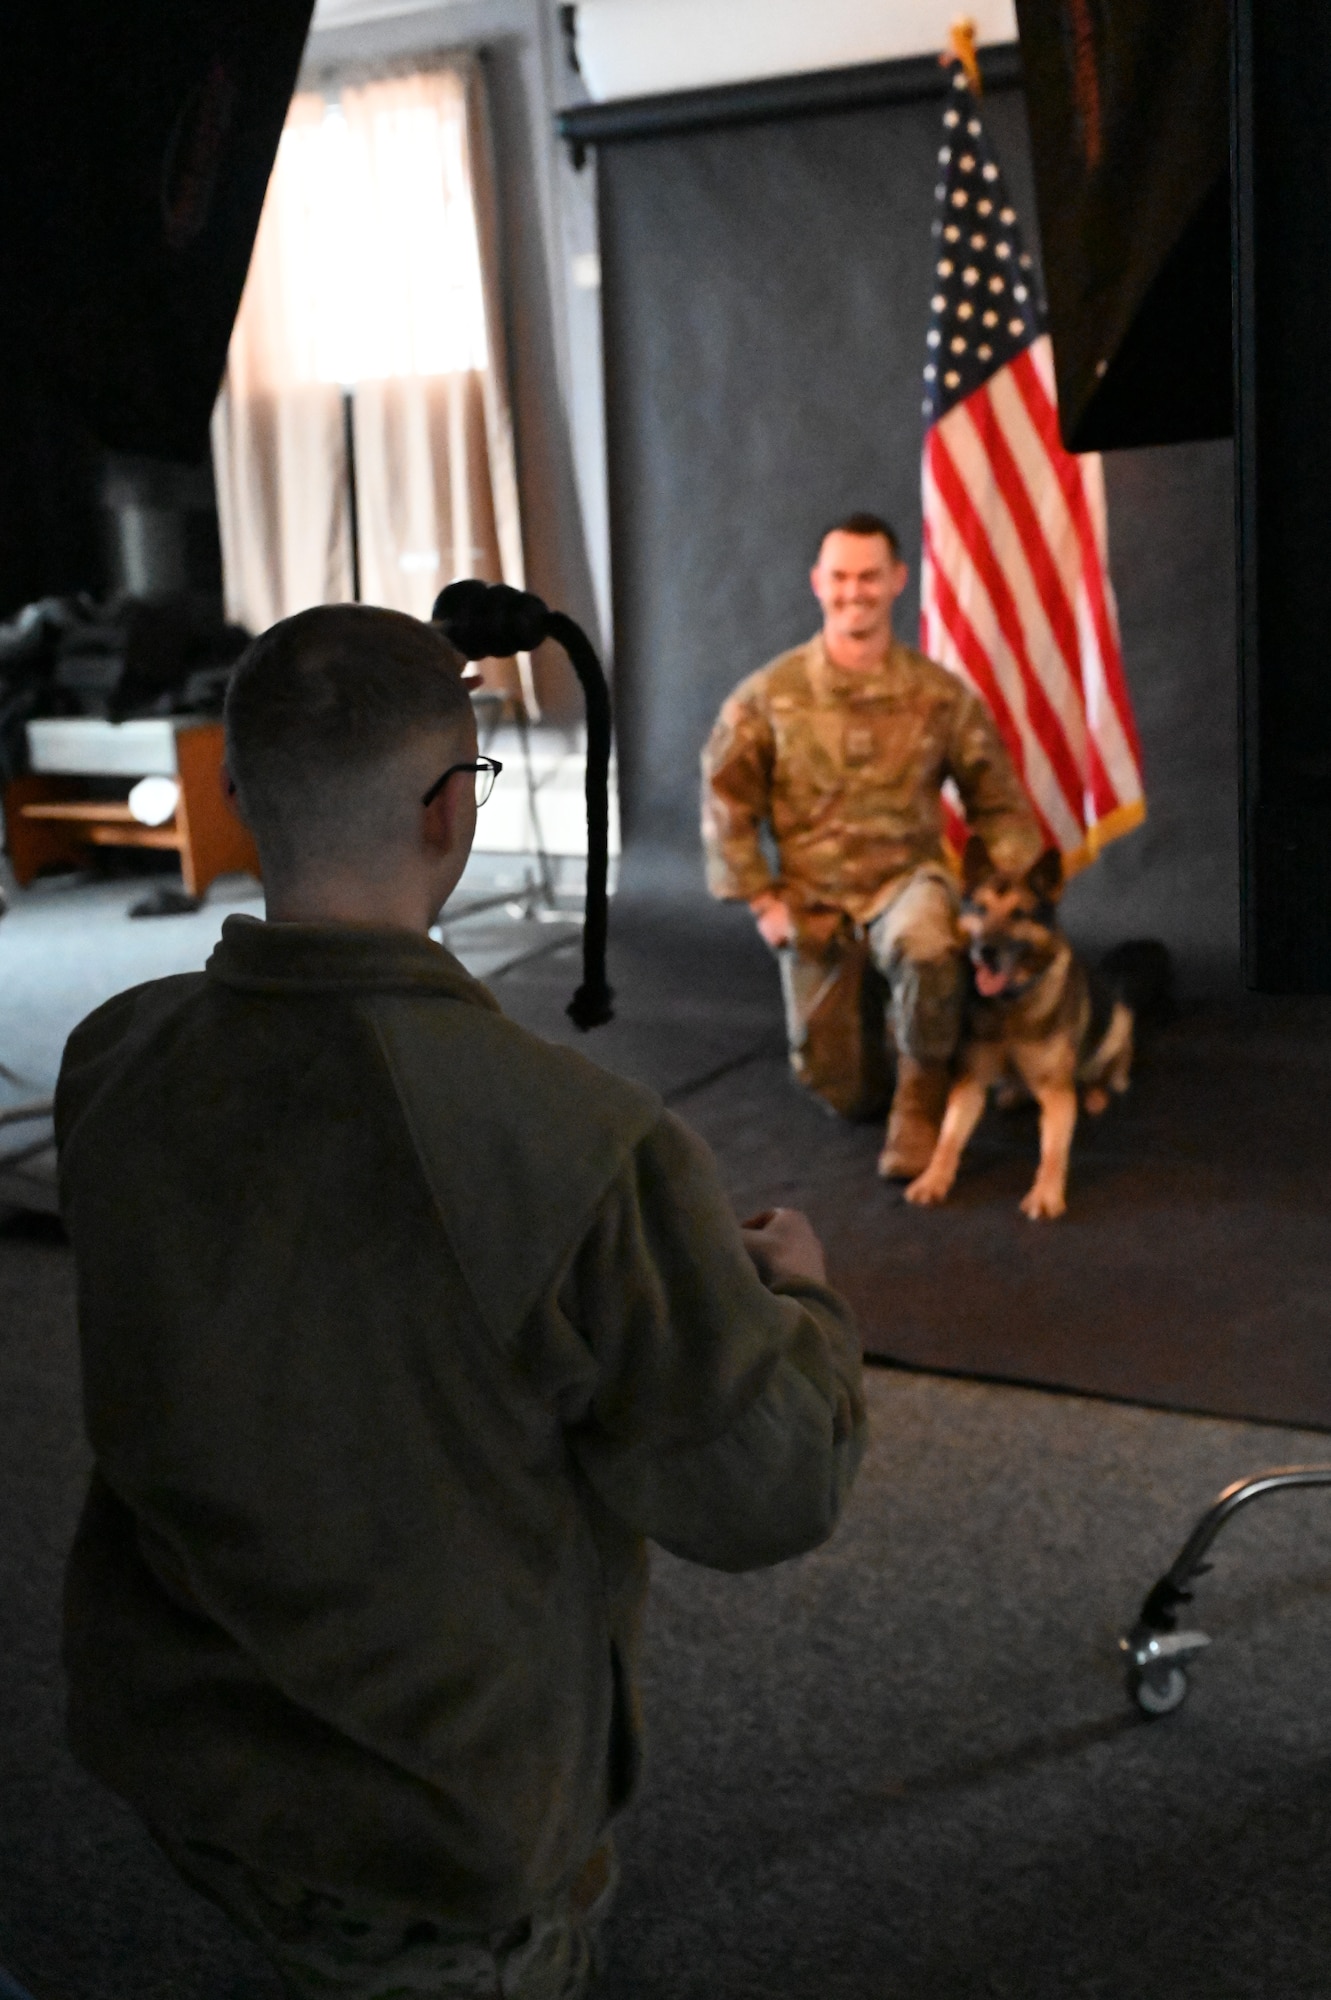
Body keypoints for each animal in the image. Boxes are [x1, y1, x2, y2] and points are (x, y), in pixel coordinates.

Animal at [895, 832, 1167, 1216]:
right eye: (980, 909)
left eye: (1019, 914)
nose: (986, 952)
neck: (1010, 1004)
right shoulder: (971, 1083)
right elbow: (948, 1136)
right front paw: (933, 1178)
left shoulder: (1056, 1093)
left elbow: (1053, 1148)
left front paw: (1046, 1192)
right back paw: (1014, 1091)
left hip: (1118, 1026)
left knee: (1107, 1072)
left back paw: (1096, 1093)